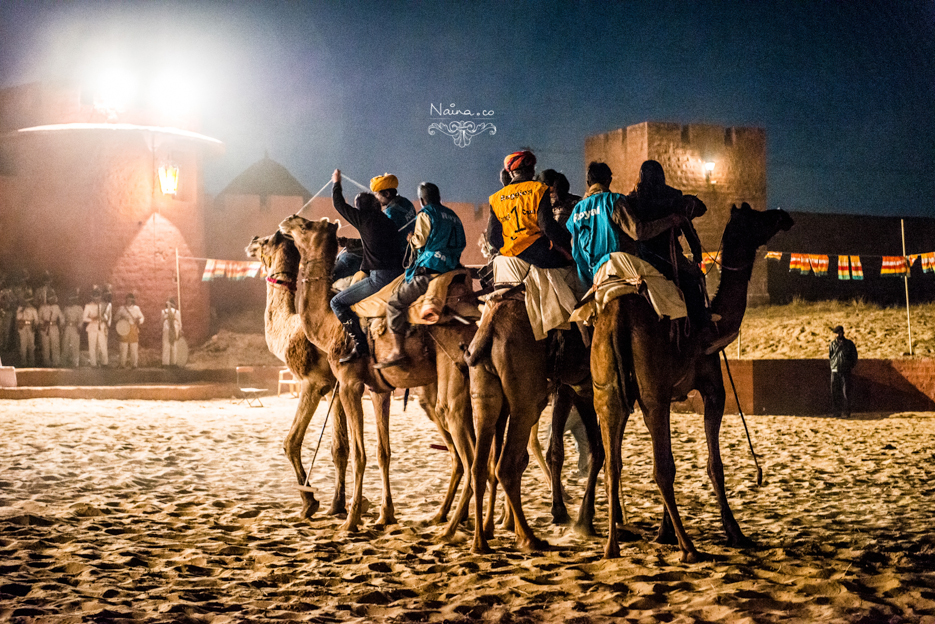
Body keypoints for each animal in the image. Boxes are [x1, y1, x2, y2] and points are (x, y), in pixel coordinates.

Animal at [247, 232, 350, 520]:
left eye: (265, 241)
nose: (251, 241)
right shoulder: (336, 388)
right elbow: (340, 447)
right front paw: (337, 505)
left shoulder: (312, 382)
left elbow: (291, 441)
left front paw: (309, 501)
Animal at [278, 216, 478, 536]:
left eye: (307, 226)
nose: (288, 221)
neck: (329, 324)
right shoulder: (378, 390)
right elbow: (383, 452)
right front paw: (385, 515)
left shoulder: (349, 384)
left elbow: (359, 454)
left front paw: (351, 520)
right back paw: (448, 518)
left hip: (451, 369)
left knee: (466, 444)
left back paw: (452, 527)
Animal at [588, 204, 792, 560]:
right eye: (757, 216)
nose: (783, 215)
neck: (716, 324)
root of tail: (617, 317)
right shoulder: (712, 388)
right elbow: (715, 465)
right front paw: (735, 532)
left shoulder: (668, 395)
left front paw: (662, 532)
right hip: (651, 394)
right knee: (661, 469)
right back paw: (689, 547)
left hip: (609, 394)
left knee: (613, 465)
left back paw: (612, 546)